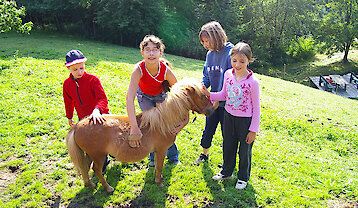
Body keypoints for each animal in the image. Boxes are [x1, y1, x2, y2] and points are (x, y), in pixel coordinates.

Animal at [65, 79, 214, 193]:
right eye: (203, 96)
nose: (212, 109)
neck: (163, 121)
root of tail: (78, 125)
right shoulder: (162, 150)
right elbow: (160, 166)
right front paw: (159, 182)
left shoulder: (158, 151)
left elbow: (157, 166)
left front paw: (157, 178)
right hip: (98, 155)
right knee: (96, 170)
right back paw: (108, 188)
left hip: (89, 155)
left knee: (85, 167)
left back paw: (90, 184)